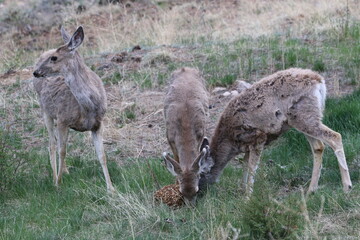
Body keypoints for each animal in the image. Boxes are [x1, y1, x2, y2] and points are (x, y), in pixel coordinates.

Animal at [32, 25, 114, 191]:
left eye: (54, 58)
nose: (35, 72)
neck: (88, 108)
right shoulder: (63, 119)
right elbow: (62, 151)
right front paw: (58, 184)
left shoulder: (98, 124)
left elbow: (102, 155)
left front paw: (111, 188)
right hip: (45, 111)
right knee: (52, 144)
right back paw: (54, 178)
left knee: (55, 143)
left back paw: (65, 171)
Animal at [163, 67, 214, 206]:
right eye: (181, 192)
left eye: (196, 190)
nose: (191, 207)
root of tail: (185, 68)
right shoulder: (170, 137)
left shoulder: (200, 134)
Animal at [197, 68, 352, 196]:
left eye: (201, 173)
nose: (198, 192)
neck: (231, 141)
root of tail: (319, 81)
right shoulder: (248, 145)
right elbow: (245, 165)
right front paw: (242, 190)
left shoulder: (258, 137)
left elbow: (252, 167)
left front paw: (247, 196)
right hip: (304, 118)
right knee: (319, 146)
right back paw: (311, 190)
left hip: (304, 115)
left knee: (335, 136)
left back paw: (347, 187)